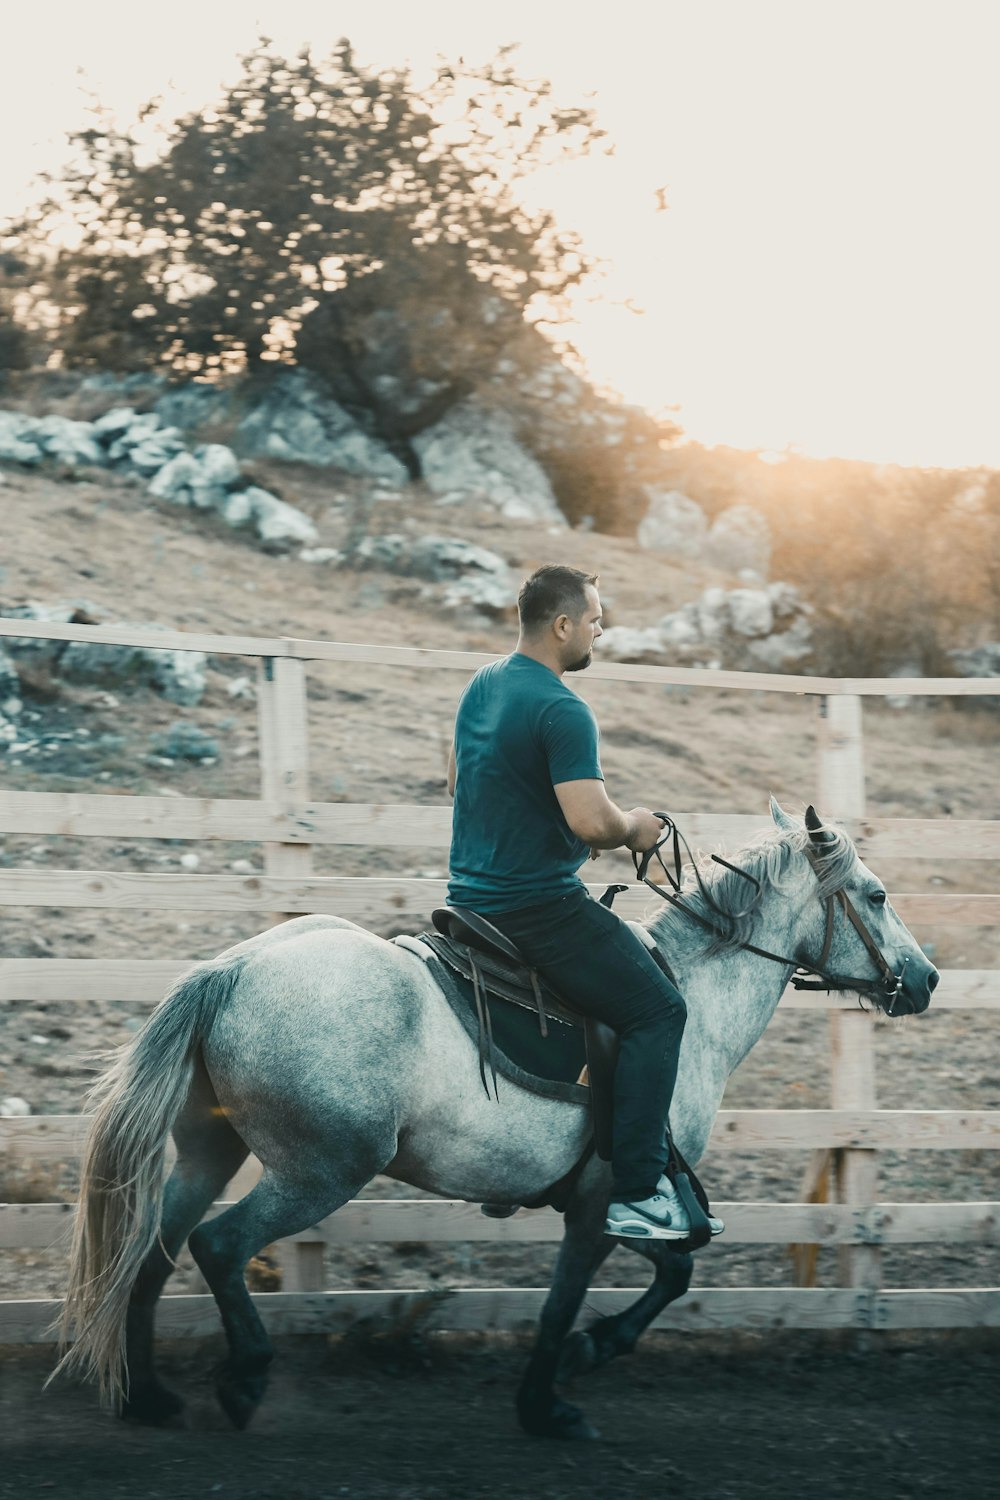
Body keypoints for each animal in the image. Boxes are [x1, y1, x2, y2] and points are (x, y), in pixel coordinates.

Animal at [56, 798, 941, 1440]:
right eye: (876, 896)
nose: (927, 979)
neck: (692, 1003)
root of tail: (233, 969)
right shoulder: (606, 1197)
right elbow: (568, 1300)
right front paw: (549, 1402)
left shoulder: (616, 1204)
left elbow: (673, 1274)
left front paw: (592, 1351)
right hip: (321, 1171)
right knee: (217, 1246)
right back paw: (243, 1379)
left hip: (212, 1151)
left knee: (154, 1252)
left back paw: (149, 1397)